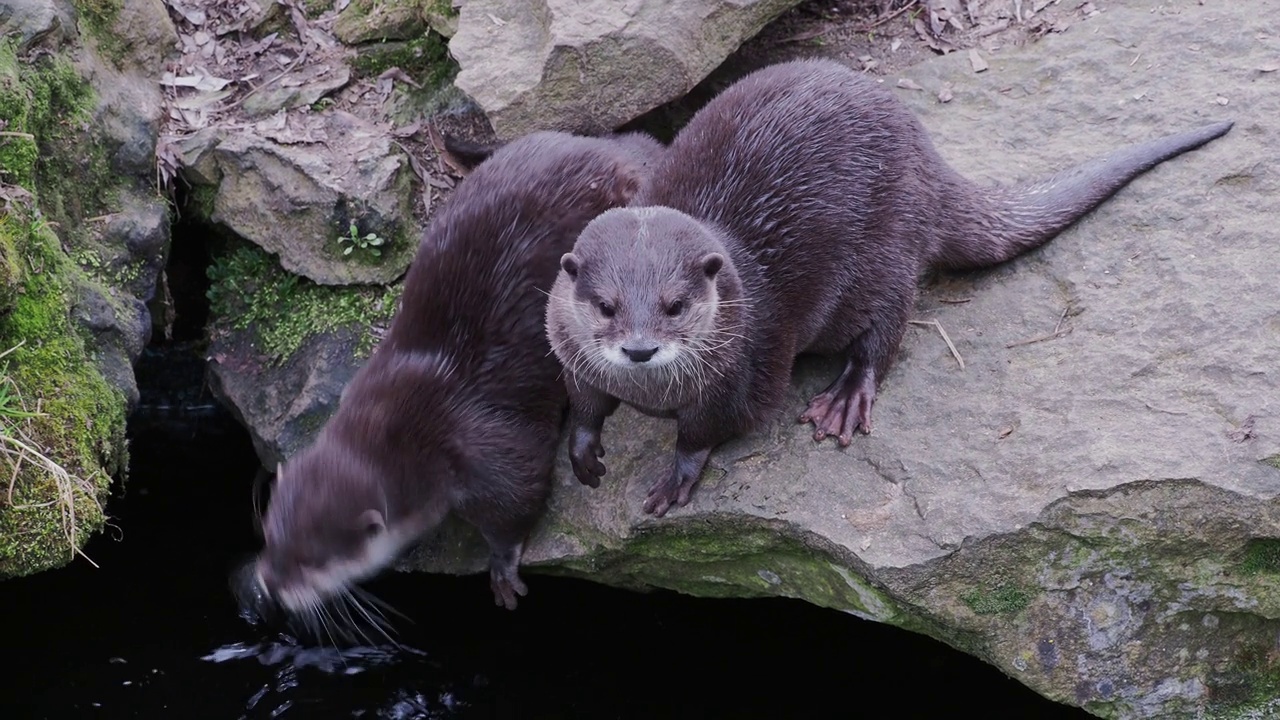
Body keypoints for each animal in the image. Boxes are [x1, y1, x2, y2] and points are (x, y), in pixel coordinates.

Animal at [234, 128, 665, 622]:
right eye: (270, 538)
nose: (270, 584)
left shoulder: (480, 446)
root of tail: (615, 149)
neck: (394, 425)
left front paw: (502, 569)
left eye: (311, 562)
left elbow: (520, 495)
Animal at [545, 57, 1233, 515]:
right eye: (605, 307)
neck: (649, 394)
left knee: (886, 329)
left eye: (676, 305)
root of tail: (929, 161)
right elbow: (582, 402)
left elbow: (709, 429)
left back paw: (847, 396)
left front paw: (677, 474)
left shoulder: (745, 365)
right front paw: (583, 450)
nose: (639, 349)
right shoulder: (568, 350)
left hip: (887, 253)